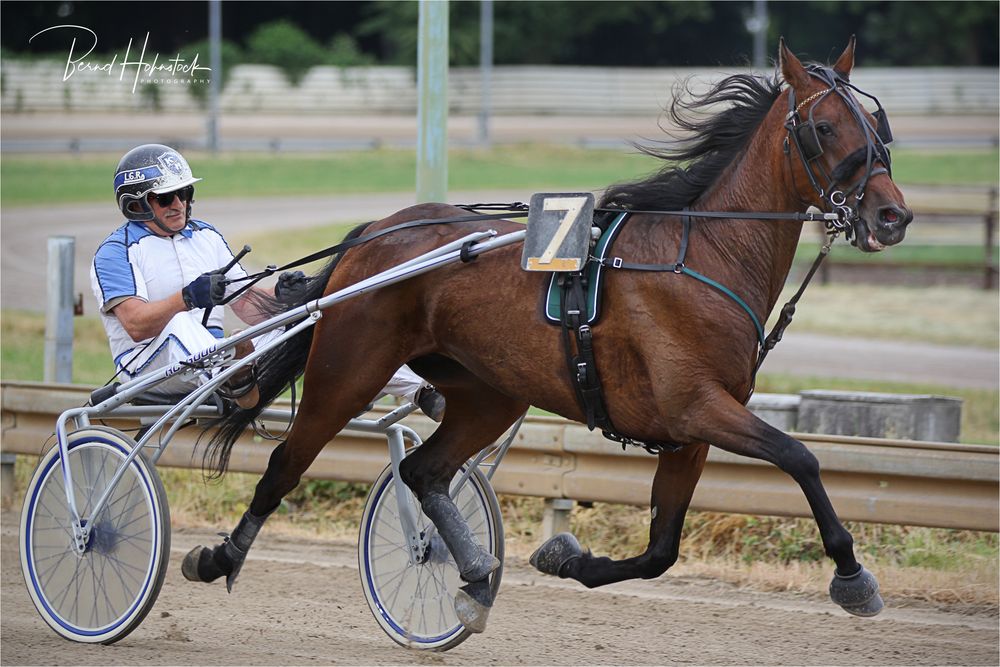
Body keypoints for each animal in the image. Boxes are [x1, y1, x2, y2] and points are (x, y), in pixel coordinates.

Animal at [182, 39, 916, 636]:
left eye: (878, 128)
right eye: (823, 126)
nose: (892, 215)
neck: (703, 256)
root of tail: (377, 231)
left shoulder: (691, 432)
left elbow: (661, 550)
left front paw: (566, 556)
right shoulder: (698, 407)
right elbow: (801, 457)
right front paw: (852, 577)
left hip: (488, 392)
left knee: (424, 471)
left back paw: (475, 576)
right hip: (348, 369)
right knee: (286, 463)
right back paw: (219, 555)